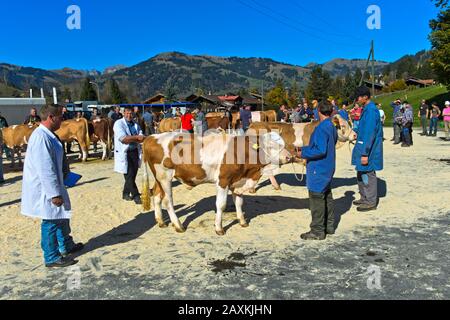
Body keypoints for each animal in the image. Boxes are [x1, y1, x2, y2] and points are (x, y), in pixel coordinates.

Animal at [142, 131, 296, 236]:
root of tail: (151, 137)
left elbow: (239, 202)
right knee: (168, 201)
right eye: (271, 145)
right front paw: (219, 228)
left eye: (282, 143)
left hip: (158, 178)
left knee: (157, 196)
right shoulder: (223, 180)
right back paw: (178, 225)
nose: (289, 157)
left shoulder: (237, 181)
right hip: (165, 177)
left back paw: (161, 221)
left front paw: (242, 221)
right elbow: (221, 205)